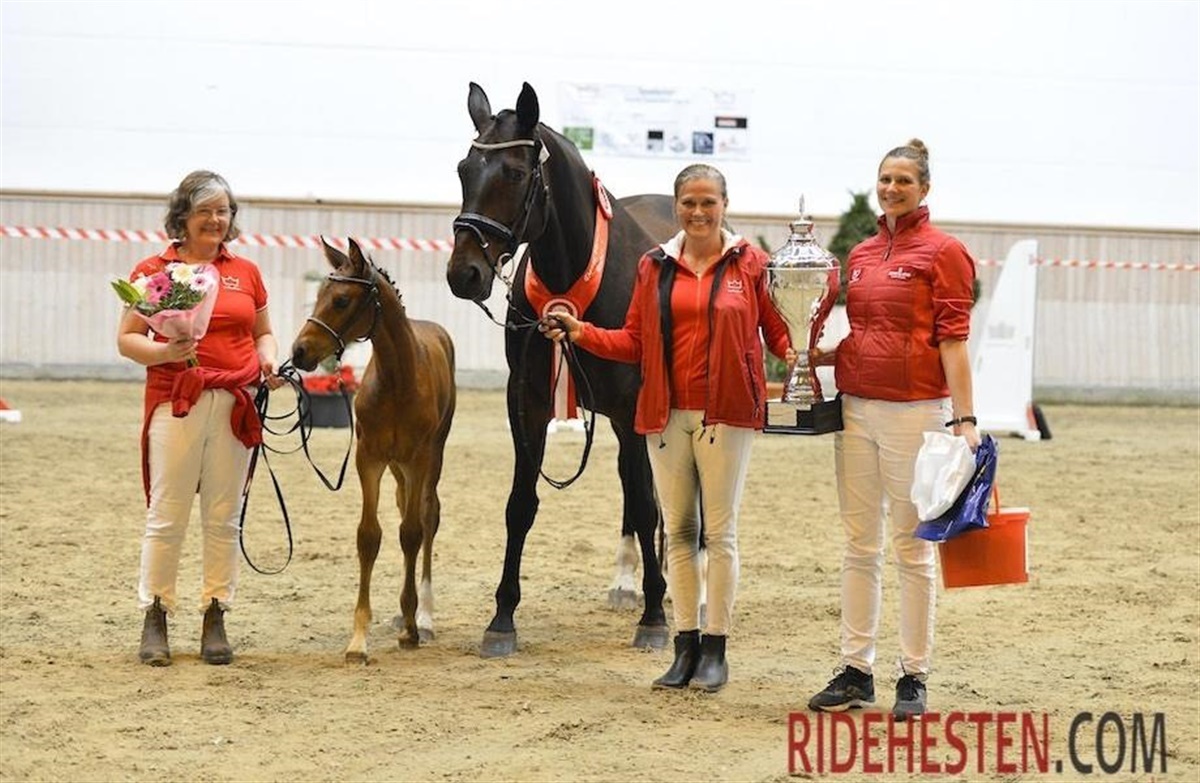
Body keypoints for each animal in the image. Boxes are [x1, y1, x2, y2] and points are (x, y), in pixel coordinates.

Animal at [291, 237, 456, 663]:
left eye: (342, 300)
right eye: (320, 293)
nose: (299, 352)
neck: (398, 379)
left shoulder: (418, 459)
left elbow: (411, 533)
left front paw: (412, 629)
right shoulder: (370, 459)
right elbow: (369, 536)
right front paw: (357, 641)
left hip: (432, 458)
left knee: (428, 516)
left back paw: (423, 617)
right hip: (397, 469)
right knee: (403, 508)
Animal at [446, 81, 674, 658]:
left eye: (514, 173)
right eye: (463, 169)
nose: (464, 273)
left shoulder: (631, 405)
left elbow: (644, 503)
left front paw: (656, 618)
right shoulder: (526, 400)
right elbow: (521, 504)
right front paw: (502, 618)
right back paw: (630, 584)